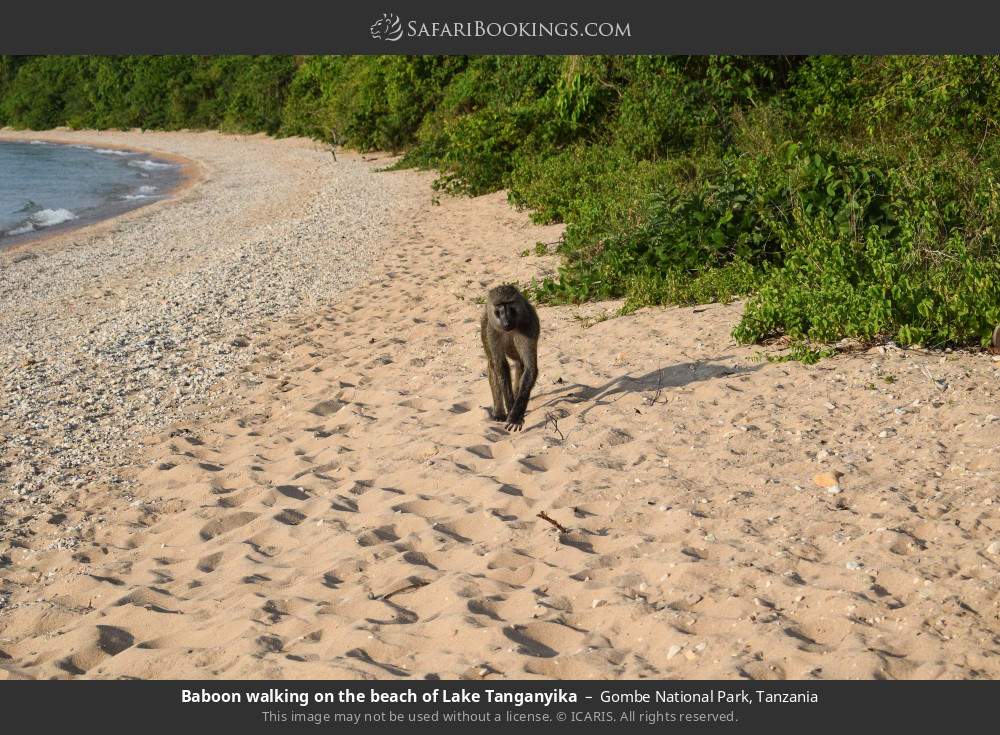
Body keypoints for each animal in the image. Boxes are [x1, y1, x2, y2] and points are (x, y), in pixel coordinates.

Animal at [480, 284, 540, 432]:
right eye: (499, 309)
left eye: (510, 307)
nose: (506, 323)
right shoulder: (492, 331)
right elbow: (500, 365)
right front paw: (510, 406)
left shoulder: (529, 327)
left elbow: (530, 367)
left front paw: (515, 416)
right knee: (492, 364)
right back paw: (499, 412)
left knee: (520, 364)